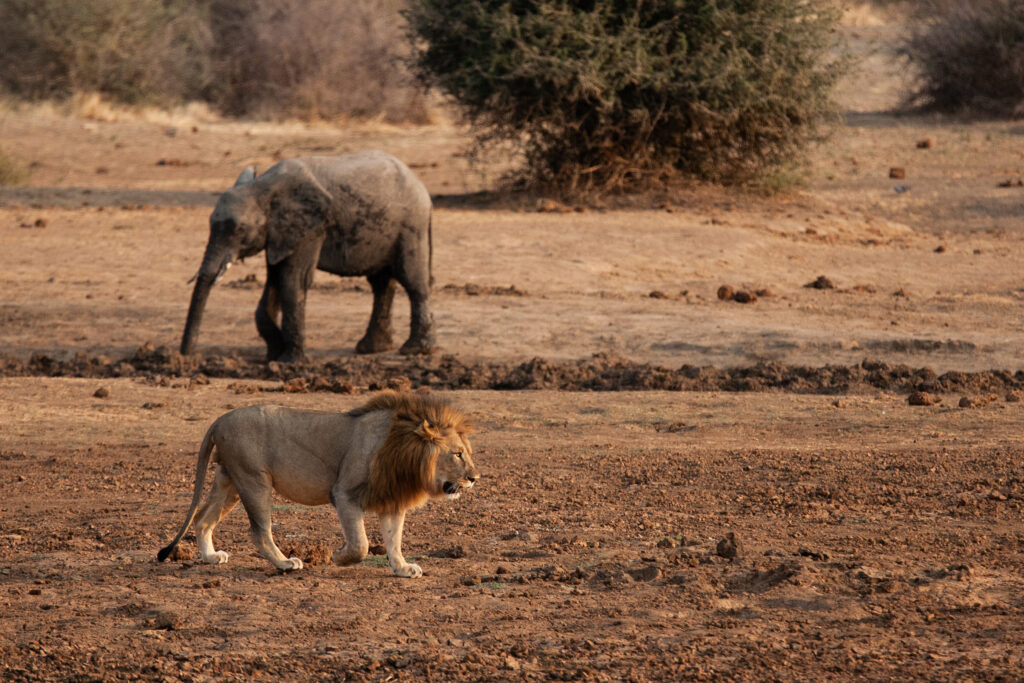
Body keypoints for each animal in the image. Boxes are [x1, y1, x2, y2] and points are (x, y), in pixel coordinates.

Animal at [157, 390, 478, 577]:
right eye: (457, 454)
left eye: (467, 452)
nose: (475, 478)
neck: (404, 451)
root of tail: (219, 420)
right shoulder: (345, 494)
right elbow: (361, 544)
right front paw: (337, 556)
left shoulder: (392, 499)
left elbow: (393, 538)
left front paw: (401, 567)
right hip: (254, 480)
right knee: (260, 531)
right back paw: (285, 564)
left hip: (229, 480)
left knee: (202, 518)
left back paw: (211, 557)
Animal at [180, 151, 436, 362]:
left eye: (238, 229)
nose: (188, 356)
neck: (264, 187)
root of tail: (420, 185)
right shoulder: (279, 234)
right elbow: (274, 280)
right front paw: (273, 355)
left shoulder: (311, 228)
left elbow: (293, 281)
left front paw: (289, 362)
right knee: (381, 283)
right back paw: (371, 349)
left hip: (410, 227)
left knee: (412, 280)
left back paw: (415, 350)